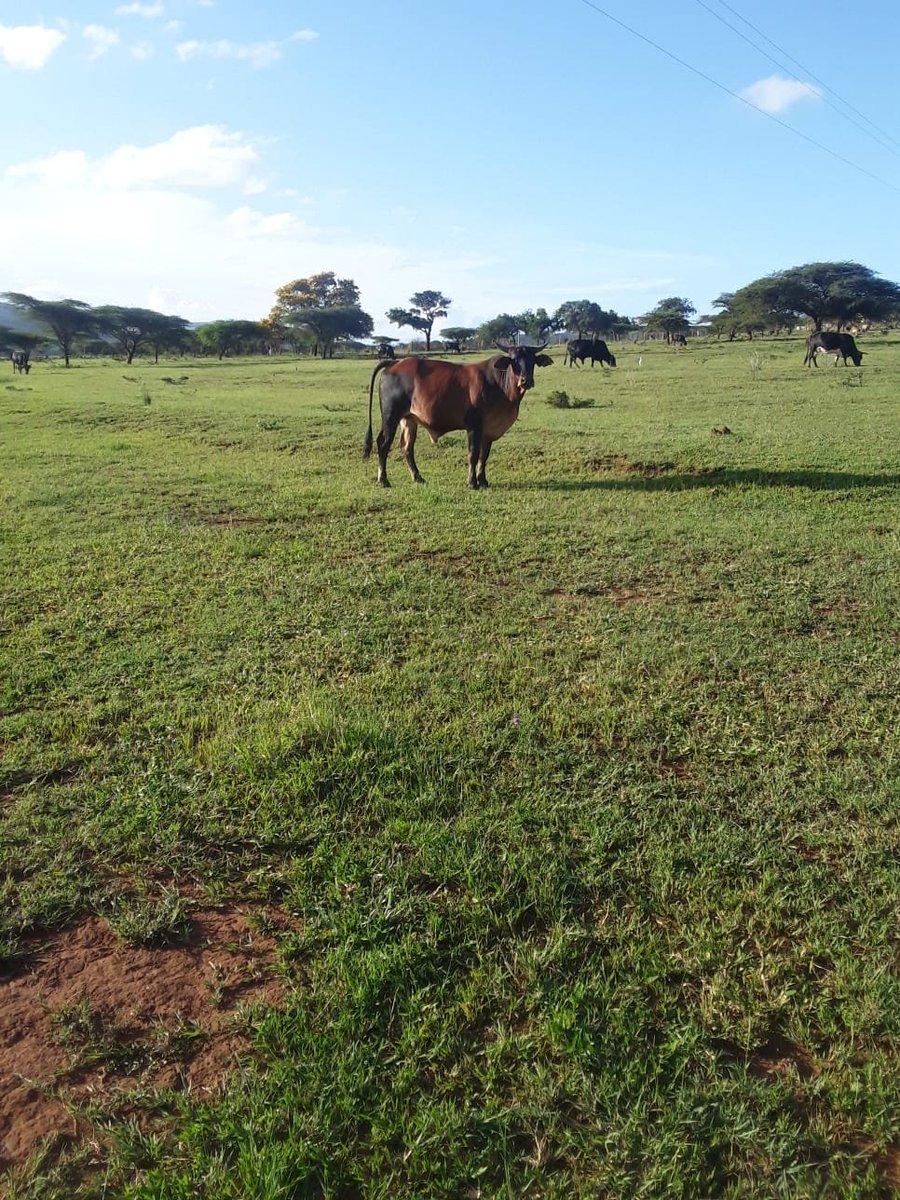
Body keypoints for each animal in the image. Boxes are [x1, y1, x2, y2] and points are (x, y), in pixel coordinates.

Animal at [364, 343, 553, 489]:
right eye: (514, 361)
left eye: (532, 361)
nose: (526, 380)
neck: (501, 387)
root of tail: (394, 363)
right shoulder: (474, 426)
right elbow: (473, 454)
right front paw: (472, 482)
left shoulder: (488, 430)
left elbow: (484, 456)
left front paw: (483, 481)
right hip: (391, 416)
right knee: (383, 443)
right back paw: (383, 480)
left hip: (409, 419)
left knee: (407, 447)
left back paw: (418, 477)